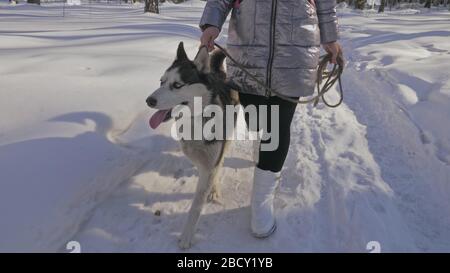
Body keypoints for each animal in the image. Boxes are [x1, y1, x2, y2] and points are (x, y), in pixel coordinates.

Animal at [147, 41, 239, 248]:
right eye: (161, 81)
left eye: (177, 85)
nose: (149, 101)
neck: (195, 123)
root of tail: (216, 73)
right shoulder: (200, 161)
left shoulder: (210, 163)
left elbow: (196, 206)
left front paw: (187, 234)